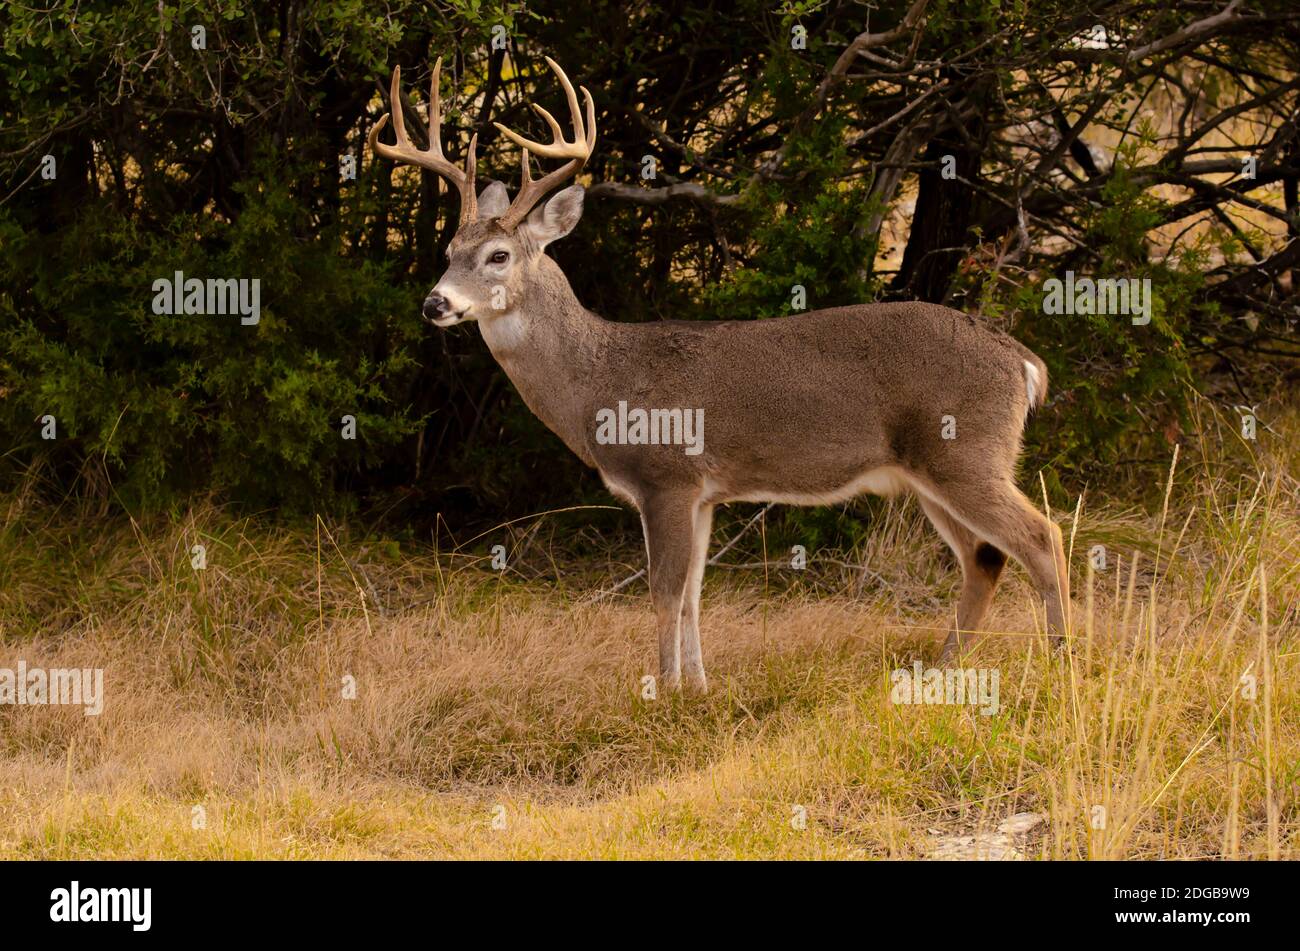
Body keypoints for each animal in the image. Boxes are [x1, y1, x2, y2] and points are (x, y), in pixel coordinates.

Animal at [366, 55, 1066, 696]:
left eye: (498, 256)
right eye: (447, 252)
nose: (435, 304)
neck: (600, 380)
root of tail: (1023, 362)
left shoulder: (668, 476)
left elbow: (663, 592)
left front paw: (663, 692)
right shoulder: (704, 494)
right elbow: (694, 594)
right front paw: (699, 688)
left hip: (965, 450)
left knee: (1042, 536)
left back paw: (1065, 665)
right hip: (932, 470)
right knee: (984, 558)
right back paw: (944, 670)